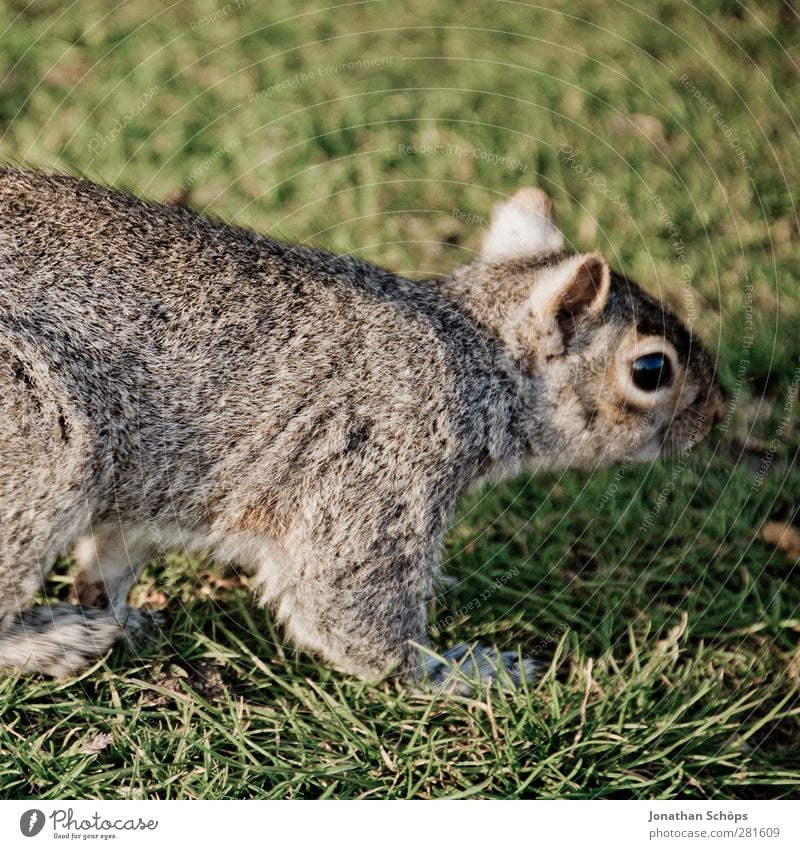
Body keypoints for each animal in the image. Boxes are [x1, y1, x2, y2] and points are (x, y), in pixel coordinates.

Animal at [0, 169, 724, 684]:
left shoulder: (155, 485)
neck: (471, 354)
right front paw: (455, 671)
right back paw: (56, 640)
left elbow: (114, 553)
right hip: (40, 441)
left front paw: (114, 606)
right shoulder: (381, 462)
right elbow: (345, 602)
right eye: (652, 368)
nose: (717, 413)